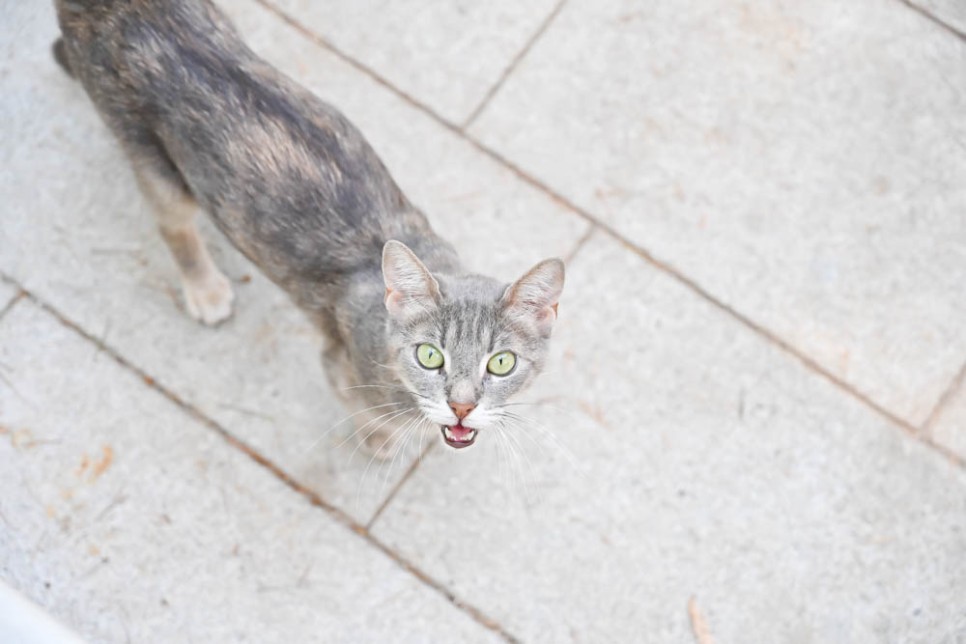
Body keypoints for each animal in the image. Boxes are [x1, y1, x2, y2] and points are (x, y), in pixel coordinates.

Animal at [54, 0, 568, 456]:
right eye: (429, 356)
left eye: (501, 363)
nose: (461, 407)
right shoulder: (341, 370)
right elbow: (373, 417)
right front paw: (382, 442)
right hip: (154, 162)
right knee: (173, 225)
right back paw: (205, 289)